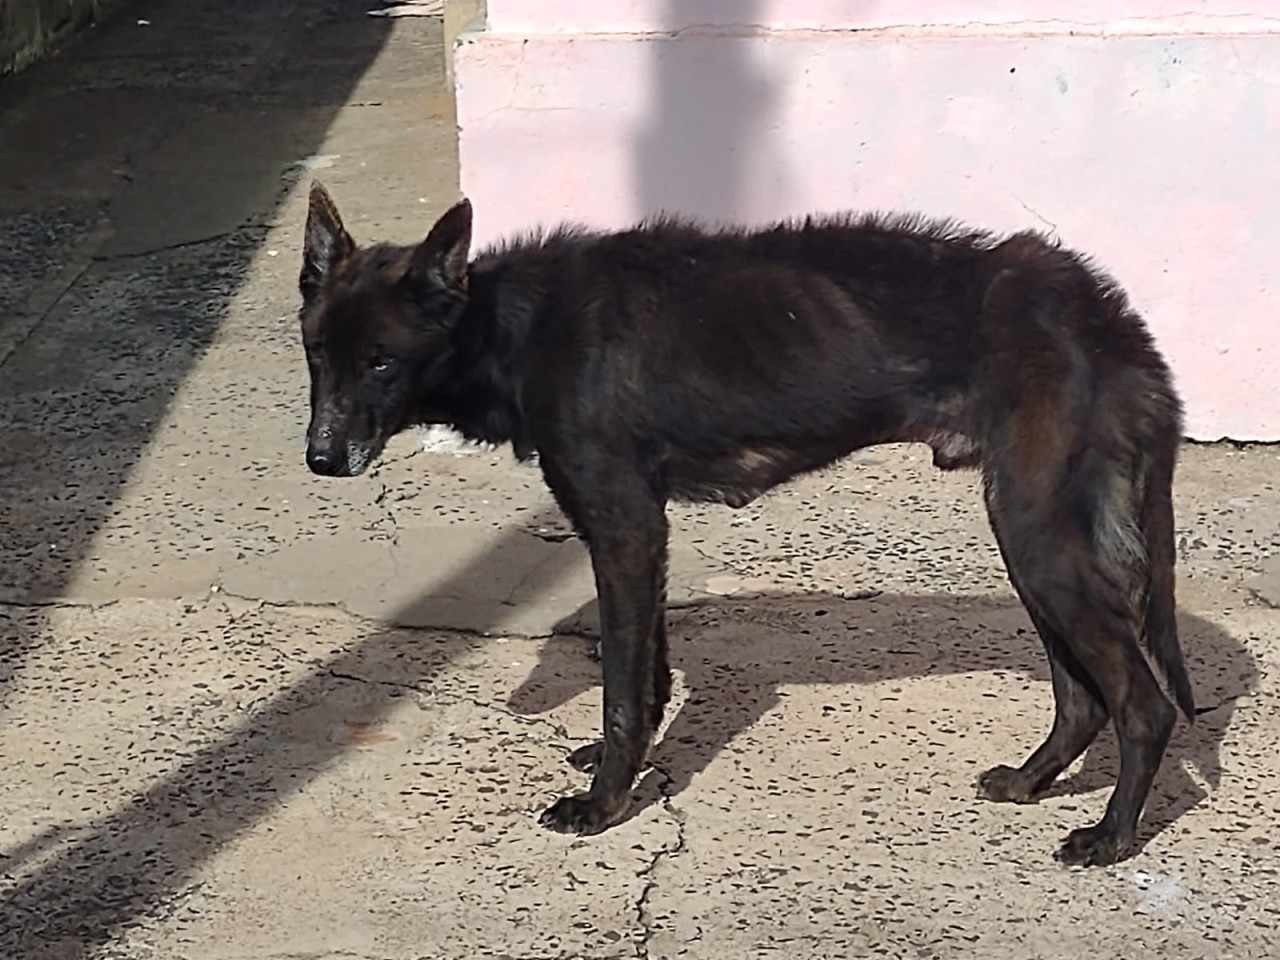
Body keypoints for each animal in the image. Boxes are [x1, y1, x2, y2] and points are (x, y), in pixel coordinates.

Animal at [296, 176, 1187, 870]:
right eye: (316, 353)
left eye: (382, 360)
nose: (321, 460)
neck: (517, 327)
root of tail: (1098, 305)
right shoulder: (639, 533)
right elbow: (647, 670)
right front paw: (624, 766)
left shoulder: (623, 528)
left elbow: (621, 688)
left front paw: (603, 804)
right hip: (1032, 541)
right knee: (1083, 698)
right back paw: (1031, 783)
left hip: (1041, 539)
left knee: (1142, 704)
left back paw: (1111, 838)